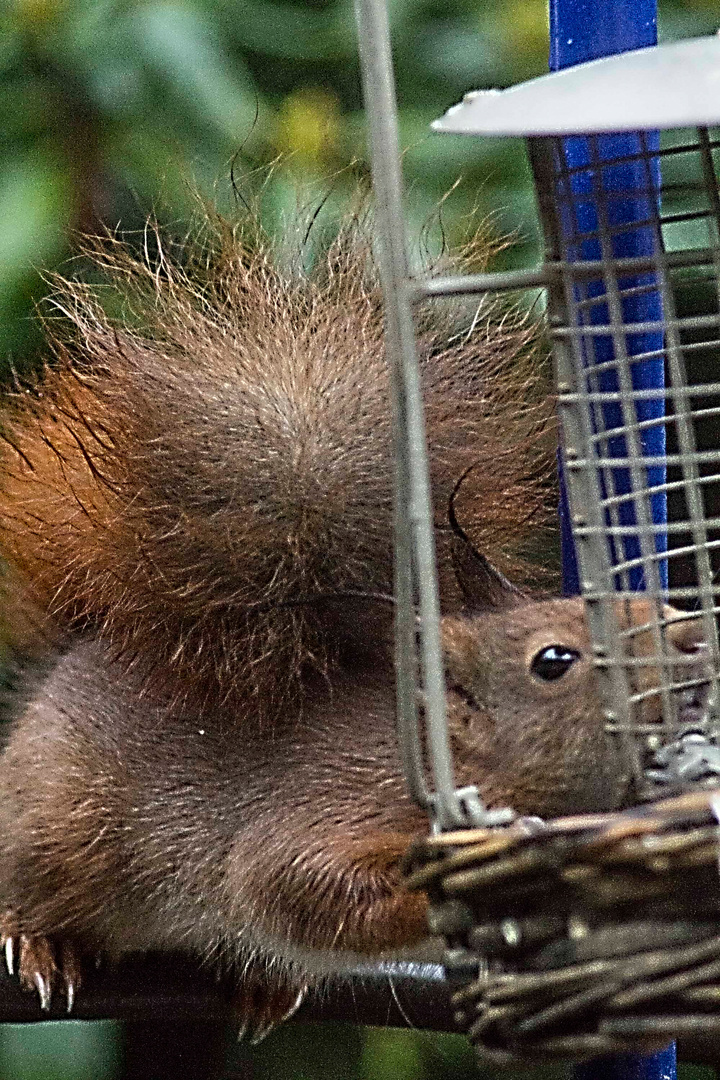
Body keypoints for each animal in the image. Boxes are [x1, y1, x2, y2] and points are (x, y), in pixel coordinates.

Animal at [0, 212, 708, 1036]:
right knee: (30, 887)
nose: (692, 636)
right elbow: (295, 888)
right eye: (554, 662)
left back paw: (264, 984)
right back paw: (42, 943)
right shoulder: (326, 814)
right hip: (55, 829)